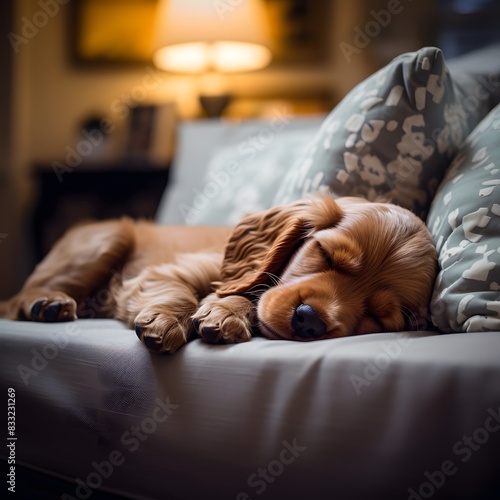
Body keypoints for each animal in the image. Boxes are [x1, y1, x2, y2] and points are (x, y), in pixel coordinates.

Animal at [0, 195, 436, 352]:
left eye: (379, 317)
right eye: (326, 255)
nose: (309, 320)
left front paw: (226, 314)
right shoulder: (166, 271)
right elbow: (183, 293)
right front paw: (167, 321)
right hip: (106, 238)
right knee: (22, 295)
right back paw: (48, 303)